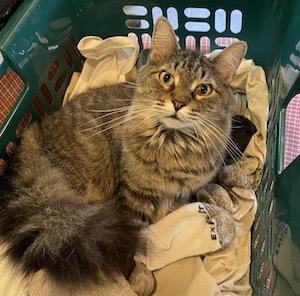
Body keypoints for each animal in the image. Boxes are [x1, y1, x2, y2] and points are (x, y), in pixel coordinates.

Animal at [0, 17, 247, 286]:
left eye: (203, 90)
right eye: (167, 77)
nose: (178, 103)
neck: (174, 145)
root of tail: (33, 131)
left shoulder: (183, 191)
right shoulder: (133, 195)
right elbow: (134, 240)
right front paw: (135, 276)